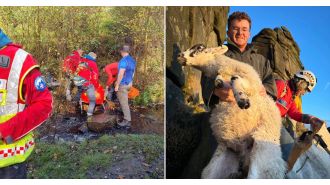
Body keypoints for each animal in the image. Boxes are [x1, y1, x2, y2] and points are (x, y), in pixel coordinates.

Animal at [177, 44, 288, 178]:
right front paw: (219, 83)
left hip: (262, 154)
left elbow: (235, 79)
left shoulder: (251, 83)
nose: (179, 56)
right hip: (222, 161)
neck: (224, 67)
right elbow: (219, 81)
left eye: (199, 48)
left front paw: (243, 101)